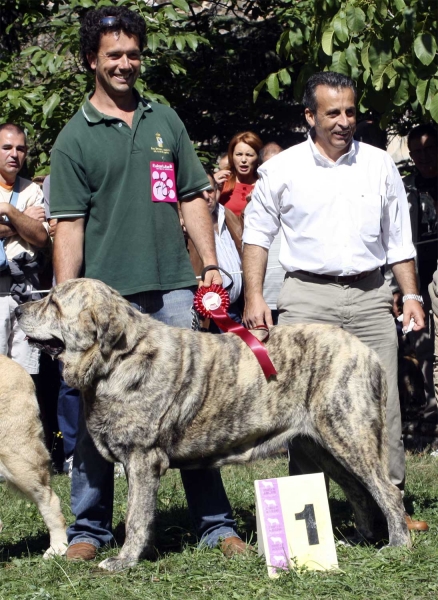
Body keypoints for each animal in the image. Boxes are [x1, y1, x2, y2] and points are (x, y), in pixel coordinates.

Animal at [14, 280, 410, 572]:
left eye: (53, 303)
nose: (17, 308)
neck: (119, 358)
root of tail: (365, 351)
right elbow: (142, 513)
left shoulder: (142, 459)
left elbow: (137, 516)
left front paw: (124, 560)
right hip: (322, 445)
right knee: (360, 492)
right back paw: (358, 540)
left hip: (349, 434)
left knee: (388, 493)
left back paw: (397, 546)